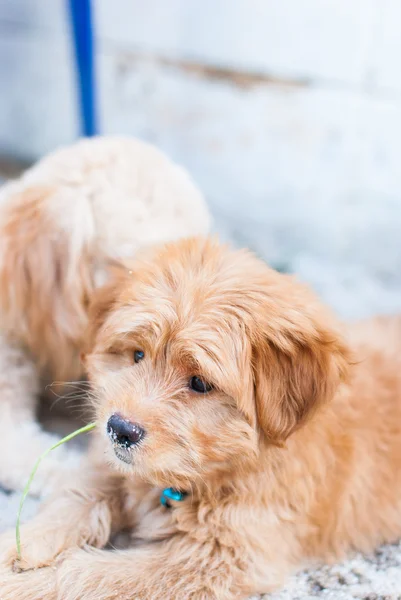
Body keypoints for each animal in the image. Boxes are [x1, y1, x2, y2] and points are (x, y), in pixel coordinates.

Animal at [0, 237, 400, 596]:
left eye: (200, 383)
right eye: (138, 355)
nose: (119, 429)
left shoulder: (217, 556)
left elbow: (85, 576)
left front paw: (22, 585)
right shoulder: (110, 467)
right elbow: (77, 497)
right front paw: (20, 547)